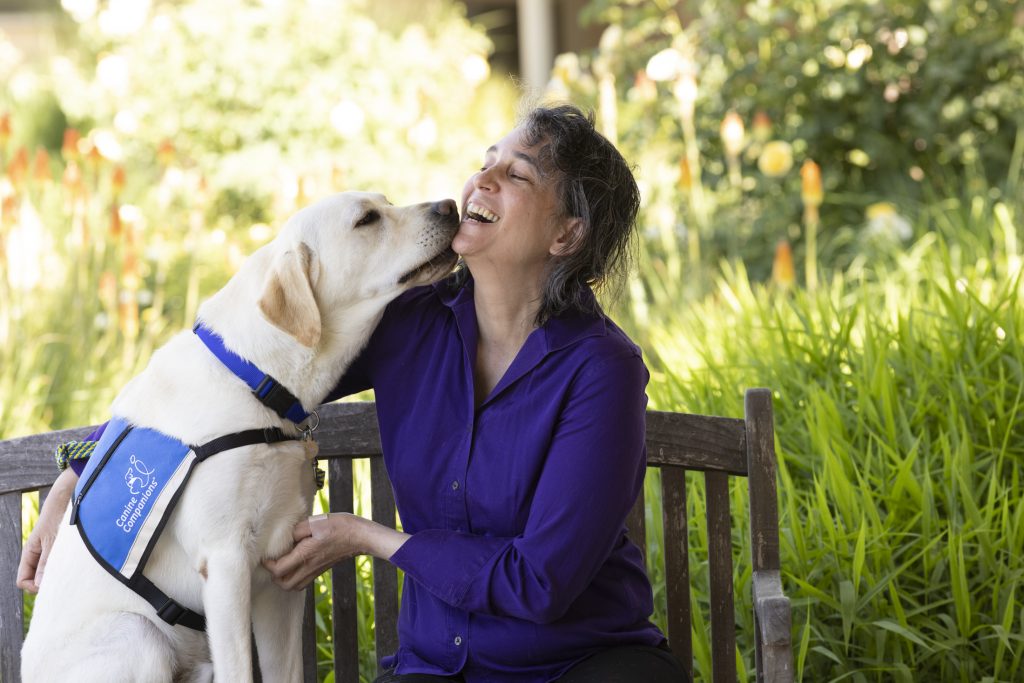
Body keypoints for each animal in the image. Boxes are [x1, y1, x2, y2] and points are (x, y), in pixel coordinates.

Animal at [20, 192, 460, 683]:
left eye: (387, 202)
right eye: (367, 219)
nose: (449, 205)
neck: (253, 378)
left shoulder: (281, 566)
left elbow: (287, 672)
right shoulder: (226, 562)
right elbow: (240, 671)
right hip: (139, 635)